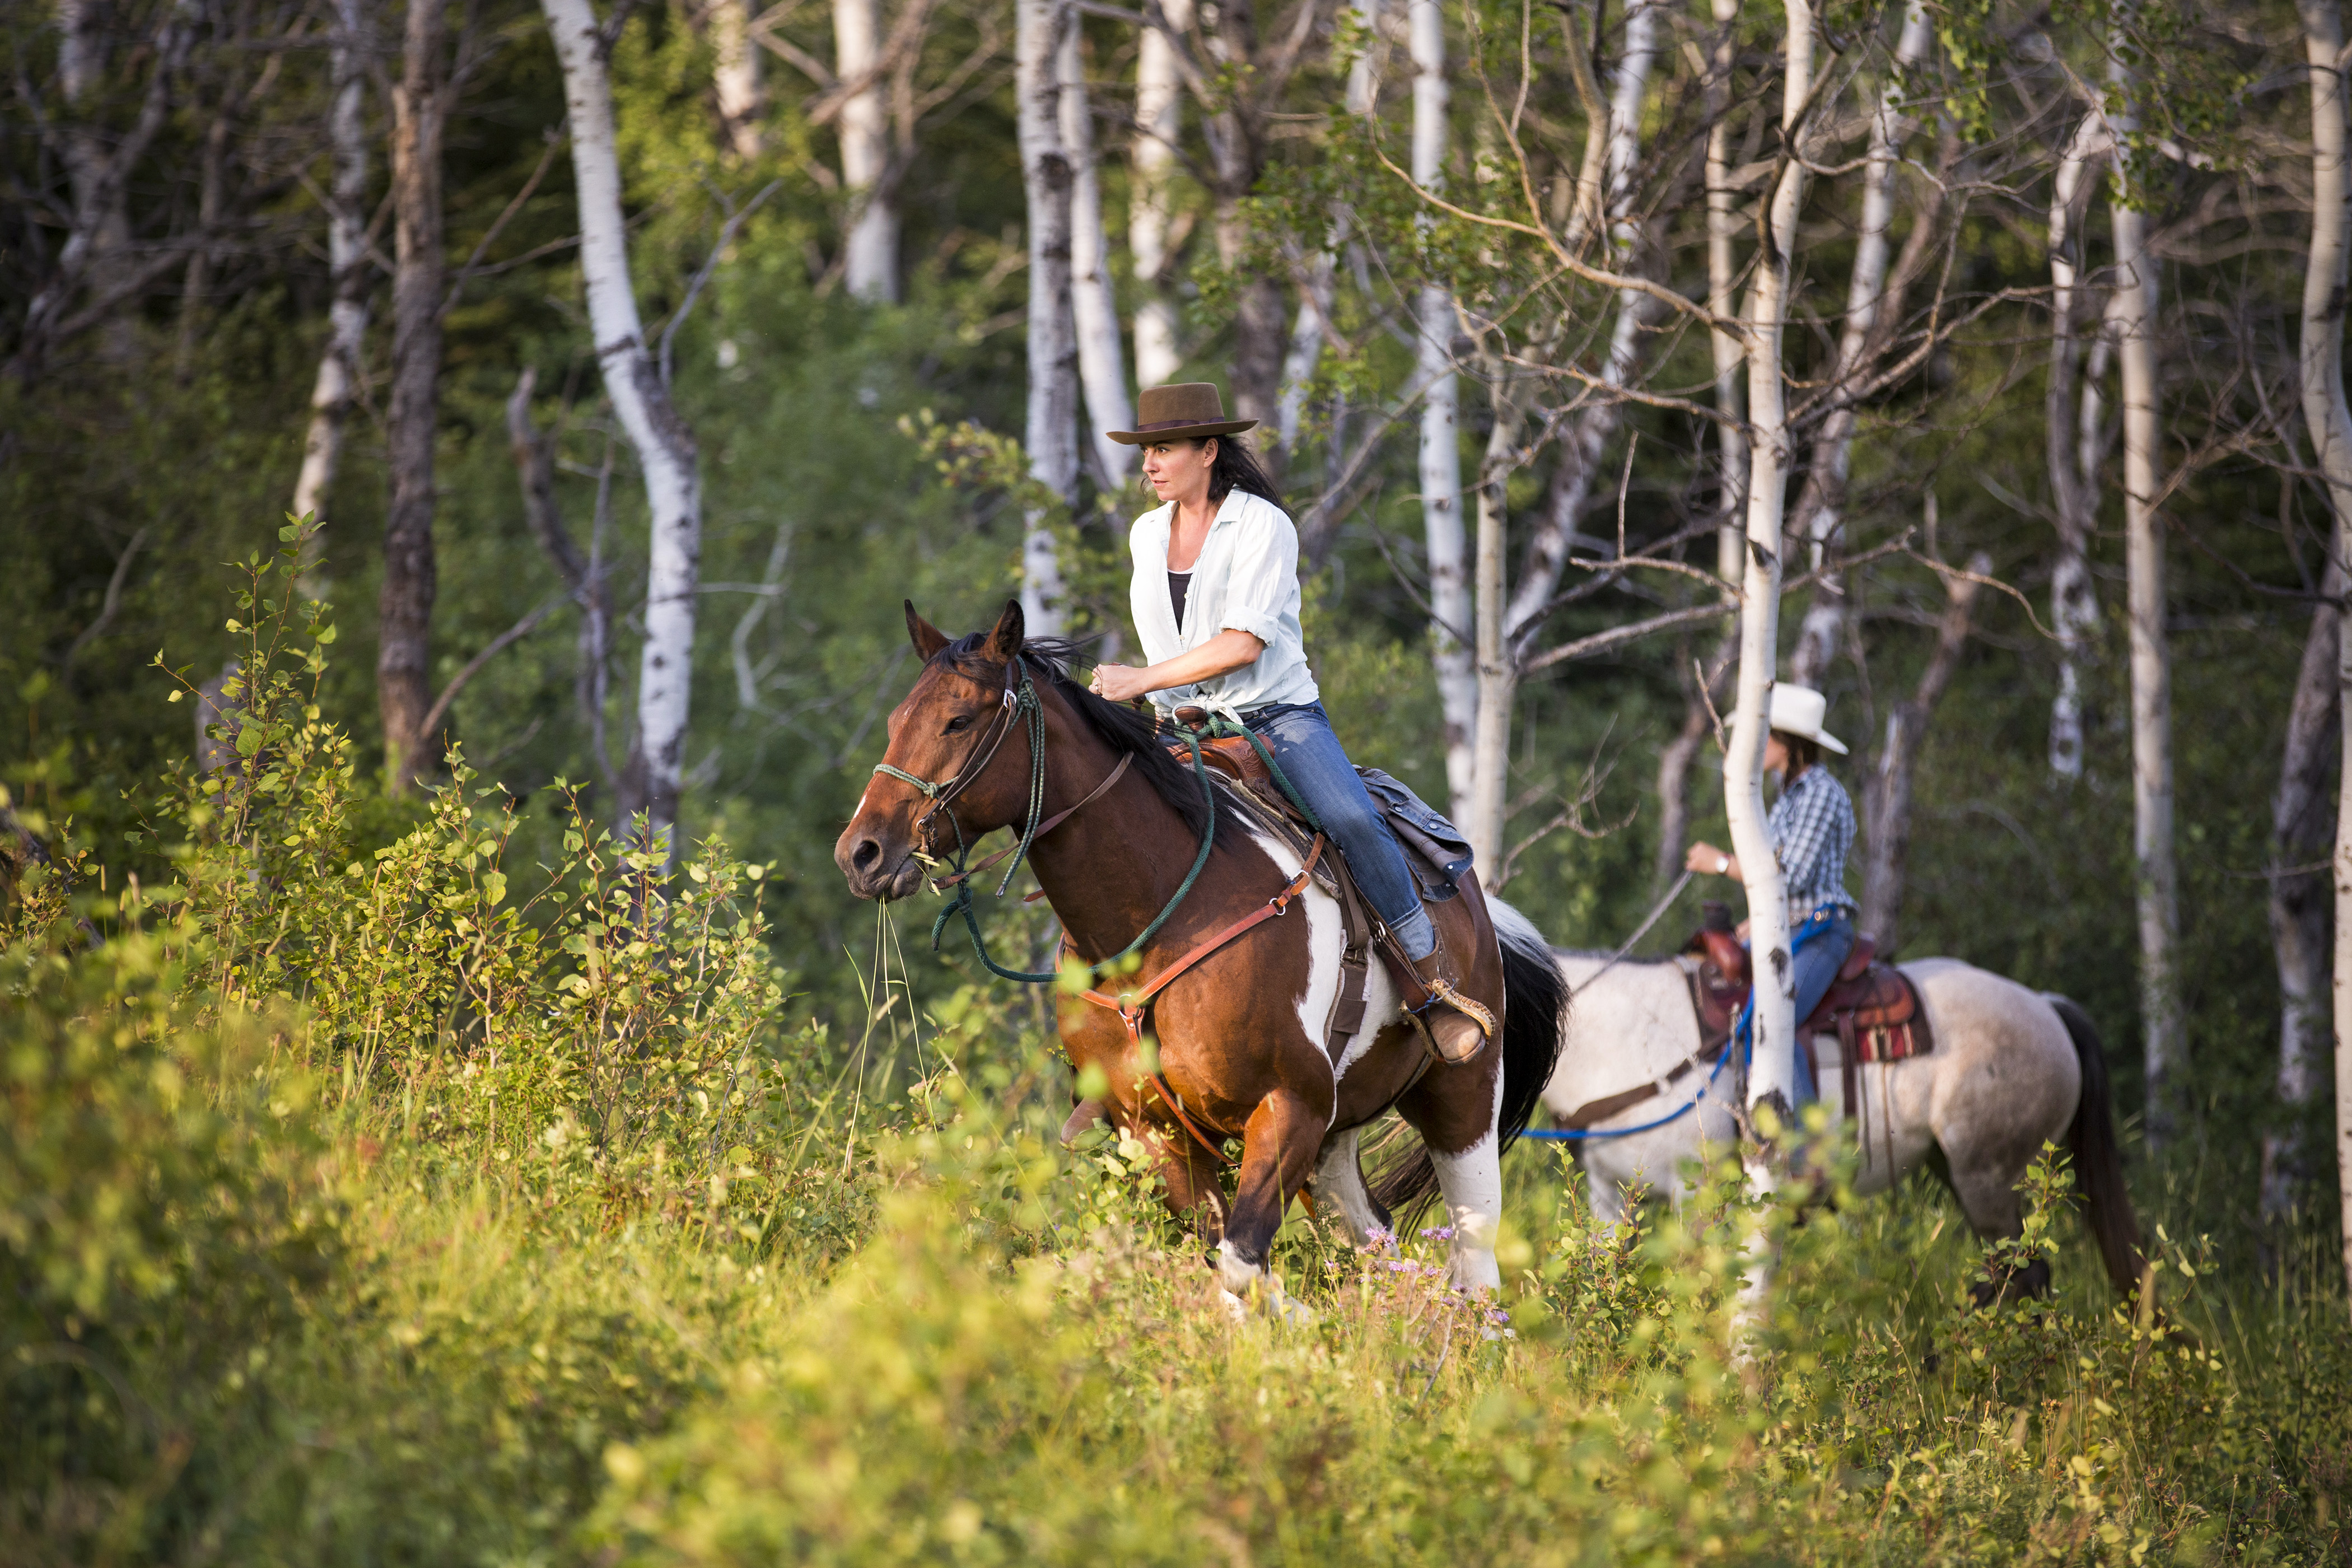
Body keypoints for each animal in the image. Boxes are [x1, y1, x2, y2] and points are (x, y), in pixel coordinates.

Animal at [837, 601, 1571, 1298]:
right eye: (897, 719)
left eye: (958, 721)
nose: (861, 854)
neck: (1158, 920)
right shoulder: (1160, 1130)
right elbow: (1227, 1262)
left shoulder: (1288, 1108)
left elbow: (1241, 1265)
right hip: (1336, 1141)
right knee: (1377, 1243)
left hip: (1463, 1097)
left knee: (1474, 1268)